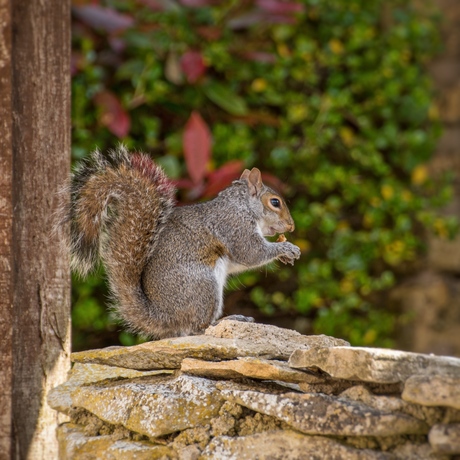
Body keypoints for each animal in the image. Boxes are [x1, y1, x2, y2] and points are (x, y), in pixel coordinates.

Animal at [60, 146, 298, 338]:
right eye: (275, 202)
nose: (291, 226)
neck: (242, 206)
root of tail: (163, 316)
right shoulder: (234, 226)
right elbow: (251, 252)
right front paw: (286, 248)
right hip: (202, 286)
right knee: (197, 328)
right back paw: (228, 320)